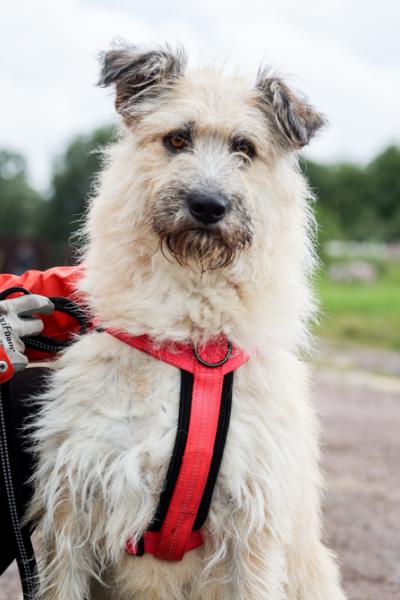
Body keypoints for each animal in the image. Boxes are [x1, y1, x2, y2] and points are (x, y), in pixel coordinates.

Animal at [29, 43, 347, 599]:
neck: (190, 337)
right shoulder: (71, 507)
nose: (208, 205)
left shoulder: (252, 528)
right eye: (177, 138)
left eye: (244, 148)